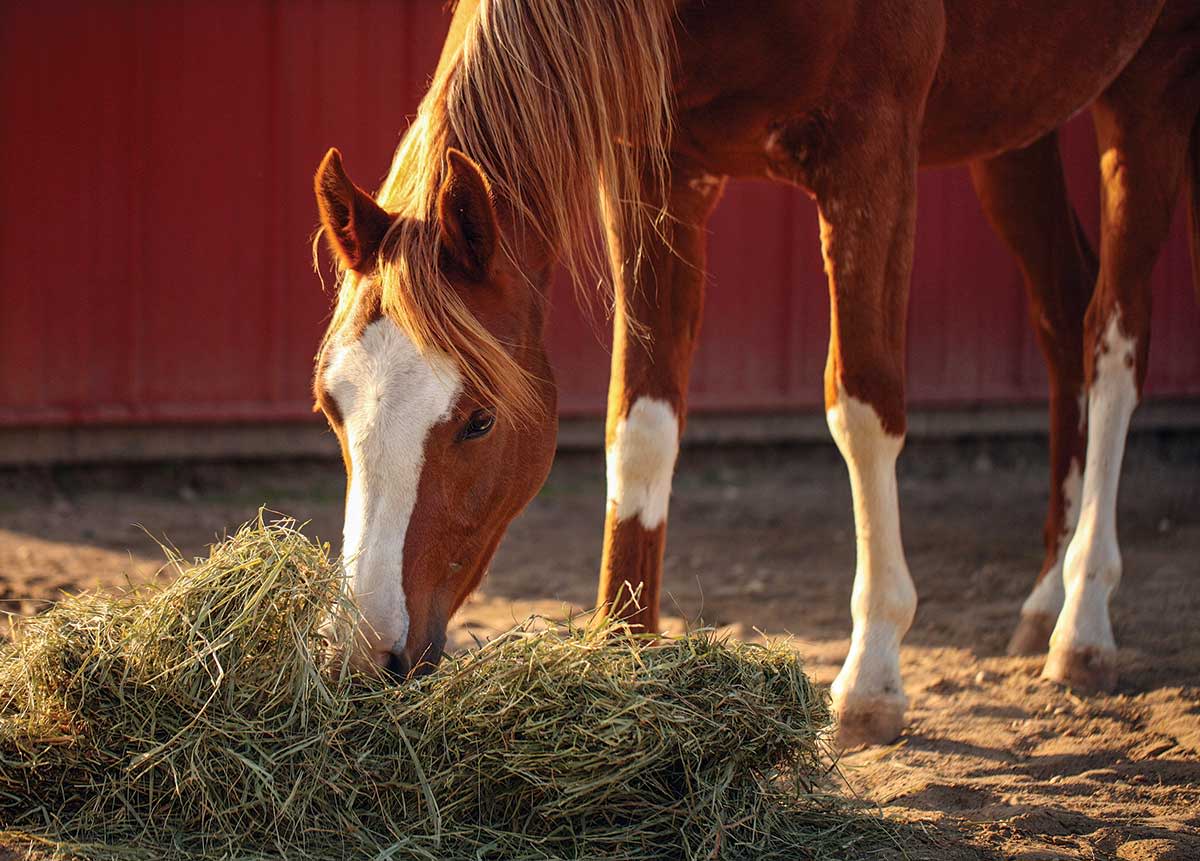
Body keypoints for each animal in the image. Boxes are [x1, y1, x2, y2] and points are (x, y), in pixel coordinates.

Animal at [312, 0, 1200, 748]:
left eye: (480, 419)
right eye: (331, 407)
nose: (365, 653)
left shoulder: (872, 153)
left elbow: (864, 405)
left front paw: (872, 674)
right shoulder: (656, 174)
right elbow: (640, 421)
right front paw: (623, 650)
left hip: (1149, 89)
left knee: (1114, 342)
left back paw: (1083, 618)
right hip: (1018, 128)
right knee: (1062, 317)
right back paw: (1046, 597)